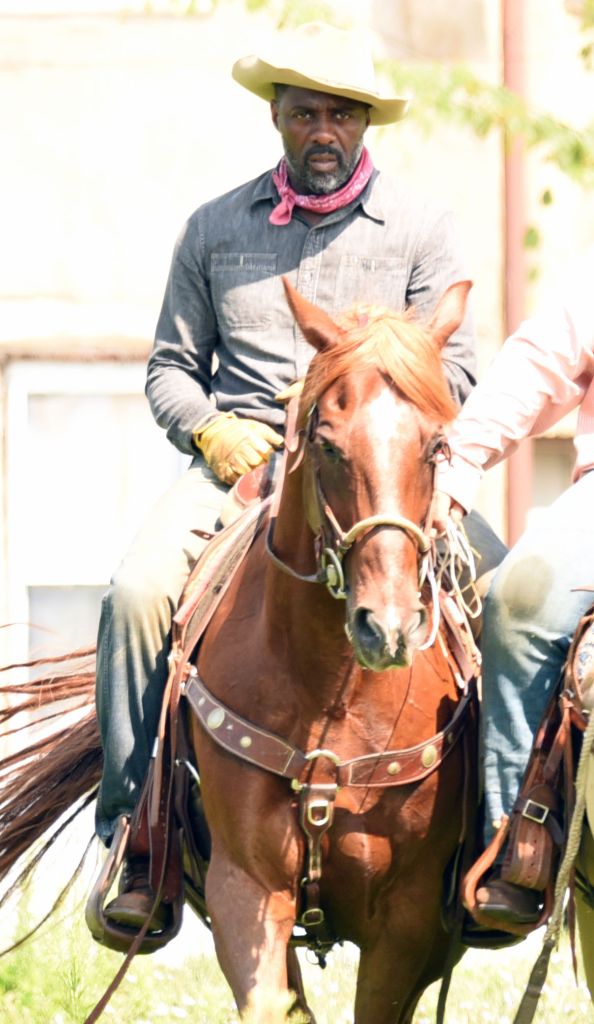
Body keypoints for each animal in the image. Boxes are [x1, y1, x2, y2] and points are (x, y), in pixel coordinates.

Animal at [183, 276, 475, 1019]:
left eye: (437, 446)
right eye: (327, 444)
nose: (388, 627)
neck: (331, 691)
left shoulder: (406, 922)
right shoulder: (246, 889)